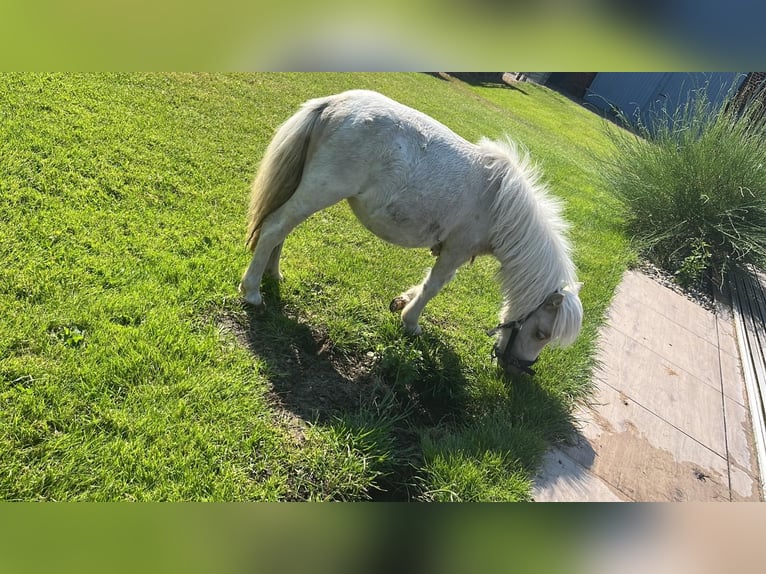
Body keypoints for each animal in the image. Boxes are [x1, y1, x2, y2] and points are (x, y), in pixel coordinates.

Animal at [240, 89, 584, 376]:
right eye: (541, 333)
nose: (518, 370)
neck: (500, 201)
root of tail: (333, 102)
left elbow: (427, 283)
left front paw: (403, 302)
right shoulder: (456, 250)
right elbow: (436, 285)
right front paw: (411, 322)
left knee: (282, 229)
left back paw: (273, 274)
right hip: (319, 191)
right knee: (274, 228)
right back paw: (252, 291)